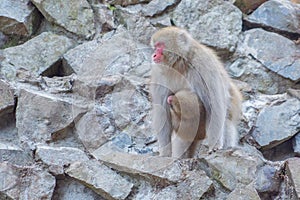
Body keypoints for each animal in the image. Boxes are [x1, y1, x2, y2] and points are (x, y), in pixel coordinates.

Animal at [149, 26, 243, 158]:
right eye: (155, 47)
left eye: (160, 46)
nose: (154, 55)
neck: (180, 64)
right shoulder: (159, 73)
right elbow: (162, 110)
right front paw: (165, 152)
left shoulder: (203, 64)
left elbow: (214, 106)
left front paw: (214, 145)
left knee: (226, 122)